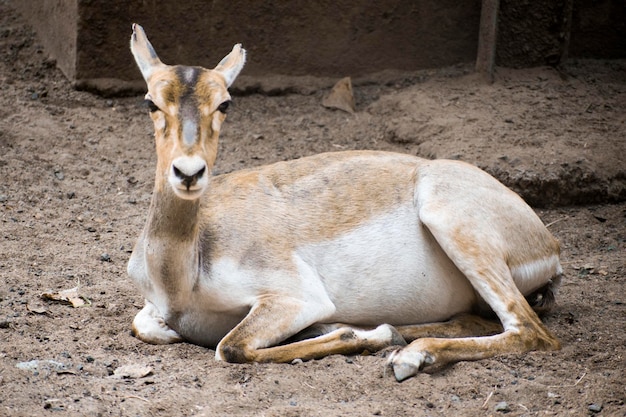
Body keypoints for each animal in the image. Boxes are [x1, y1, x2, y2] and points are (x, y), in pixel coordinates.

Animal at [127, 23, 560, 380]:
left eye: (225, 103)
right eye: (150, 101)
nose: (188, 172)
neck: (182, 273)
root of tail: (550, 244)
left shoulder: (297, 298)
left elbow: (230, 347)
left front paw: (363, 336)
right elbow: (144, 326)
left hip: (450, 220)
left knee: (531, 332)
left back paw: (406, 356)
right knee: (475, 321)